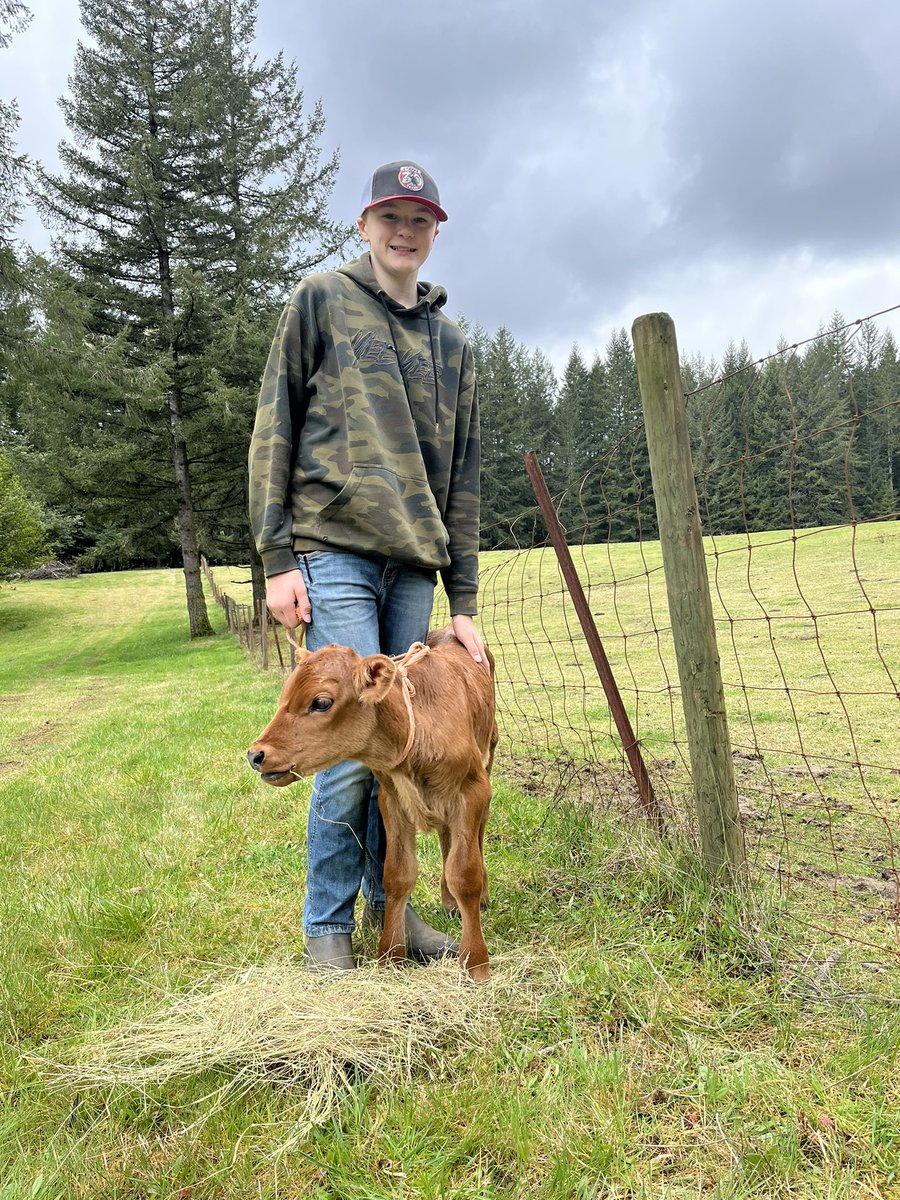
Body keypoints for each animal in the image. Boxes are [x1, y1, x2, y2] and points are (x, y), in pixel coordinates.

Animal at [246, 626, 498, 982]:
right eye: (285, 695)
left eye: (321, 702)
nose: (256, 754)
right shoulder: (392, 799)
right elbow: (396, 875)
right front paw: (390, 957)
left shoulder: (472, 789)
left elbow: (465, 874)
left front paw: (475, 963)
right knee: (445, 836)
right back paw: (449, 902)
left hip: (487, 759)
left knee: (475, 835)